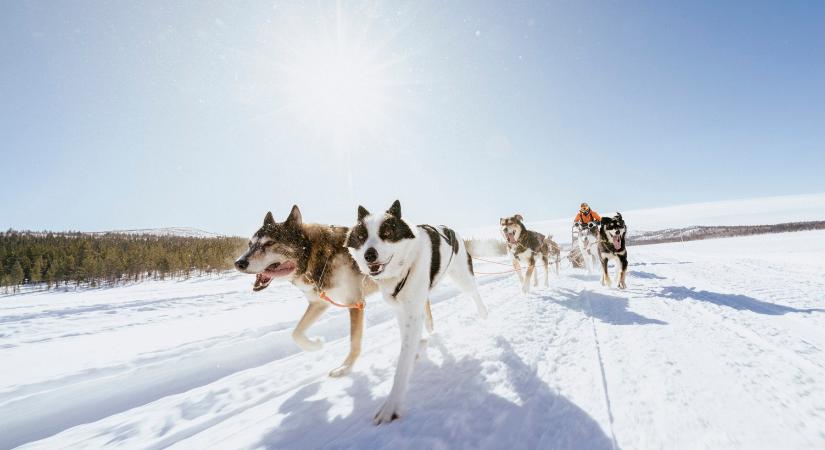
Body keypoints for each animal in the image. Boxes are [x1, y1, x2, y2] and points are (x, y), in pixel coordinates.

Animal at [233, 207, 378, 376]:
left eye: (270, 243)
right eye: (250, 244)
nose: (239, 263)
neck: (313, 257)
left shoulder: (354, 302)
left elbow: (354, 341)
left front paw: (345, 367)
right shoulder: (319, 303)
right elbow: (296, 333)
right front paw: (316, 345)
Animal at [344, 200, 486, 426]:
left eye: (387, 232)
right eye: (361, 236)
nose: (369, 255)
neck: (404, 267)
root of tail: (449, 229)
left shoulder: (412, 311)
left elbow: (402, 364)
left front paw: (391, 404)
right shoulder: (402, 310)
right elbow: (409, 339)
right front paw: (420, 346)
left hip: (462, 277)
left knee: (474, 292)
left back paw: (484, 314)